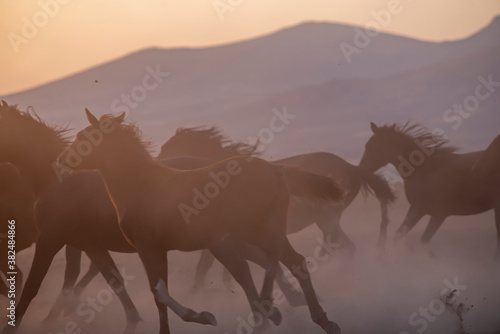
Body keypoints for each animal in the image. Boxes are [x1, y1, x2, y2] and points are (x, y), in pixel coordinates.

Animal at [55, 109, 344, 334]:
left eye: (83, 138)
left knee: (273, 260)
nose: (61, 160)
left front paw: (204, 316)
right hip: (261, 231)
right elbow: (159, 296)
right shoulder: (157, 250)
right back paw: (322, 320)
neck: (142, 187)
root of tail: (277, 170)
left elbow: (159, 291)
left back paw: (271, 308)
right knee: (294, 262)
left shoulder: (148, 248)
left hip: (257, 229)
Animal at [158, 125, 396, 288]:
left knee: (344, 247)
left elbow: (205, 268)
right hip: (327, 222)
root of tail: (352, 168)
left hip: (327, 220)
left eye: (167, 148)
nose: (159, 165)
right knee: (343, 247)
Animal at [360, 121, 500, 258]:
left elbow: (423, 241)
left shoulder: (439, 214)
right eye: (367, 145)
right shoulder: (417, 209)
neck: (425, 170)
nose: (362, 169)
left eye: (373, 146)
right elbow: (399, 236)